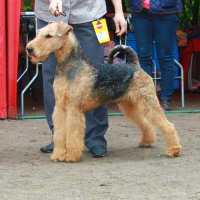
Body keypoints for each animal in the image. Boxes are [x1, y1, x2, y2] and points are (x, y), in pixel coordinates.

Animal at [26, 21, 181, 162]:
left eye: (48, 36)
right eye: (38, 33)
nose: (29, 49)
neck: (69, 67)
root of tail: (134, 65)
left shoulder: (73, 109)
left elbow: (72, 134)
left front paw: (71, 156)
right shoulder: (60, 108)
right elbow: (59, 133)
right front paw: (58, 154)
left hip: (148, 101)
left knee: (167, 125)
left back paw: (174, 150)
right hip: (129, 105)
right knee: (145, 123)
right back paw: (147, 141)